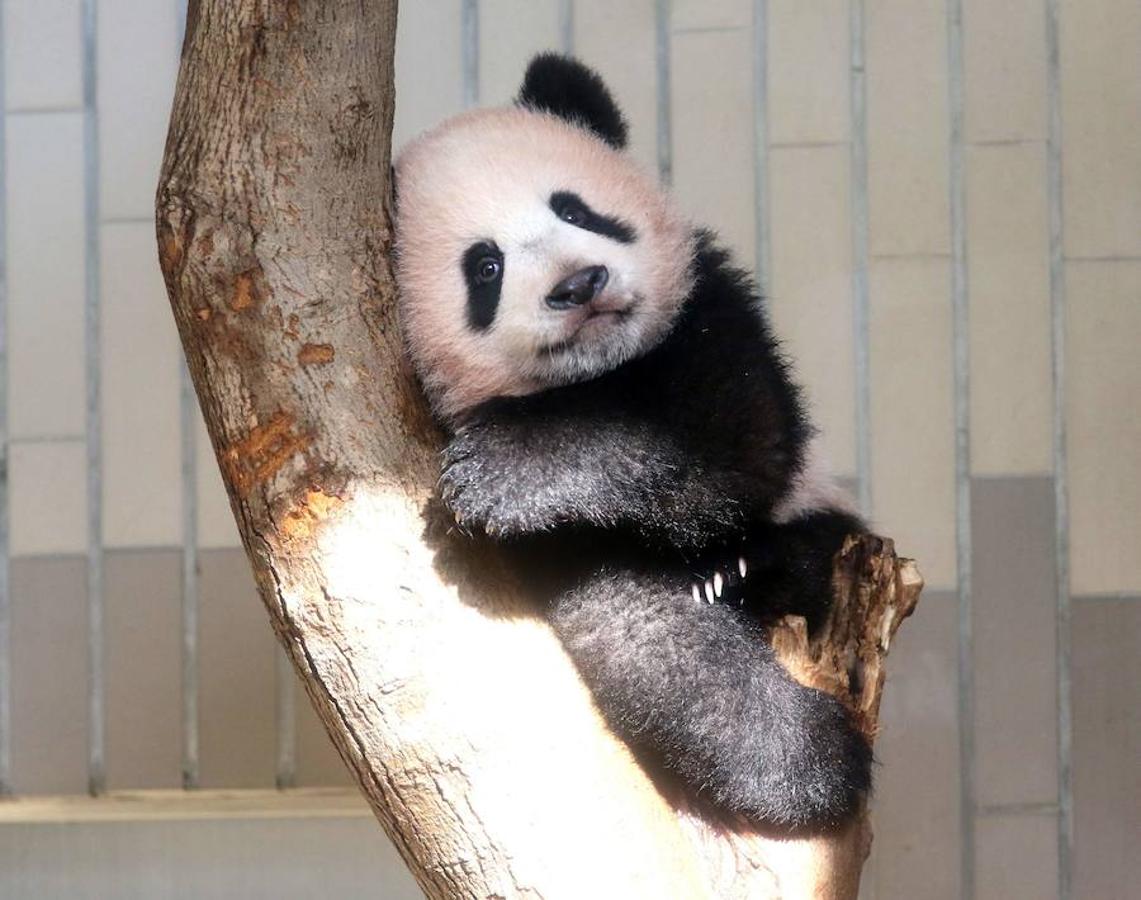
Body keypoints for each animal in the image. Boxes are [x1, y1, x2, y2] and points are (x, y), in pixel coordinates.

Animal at [397, 54, 867, 830]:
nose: (579, 283)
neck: (599, 373)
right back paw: (810, 759)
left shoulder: (713, 312)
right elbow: (649, 641)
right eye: (486, 267)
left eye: (577, 211)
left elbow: (733, 436)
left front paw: (504, 471)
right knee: (655, 641)